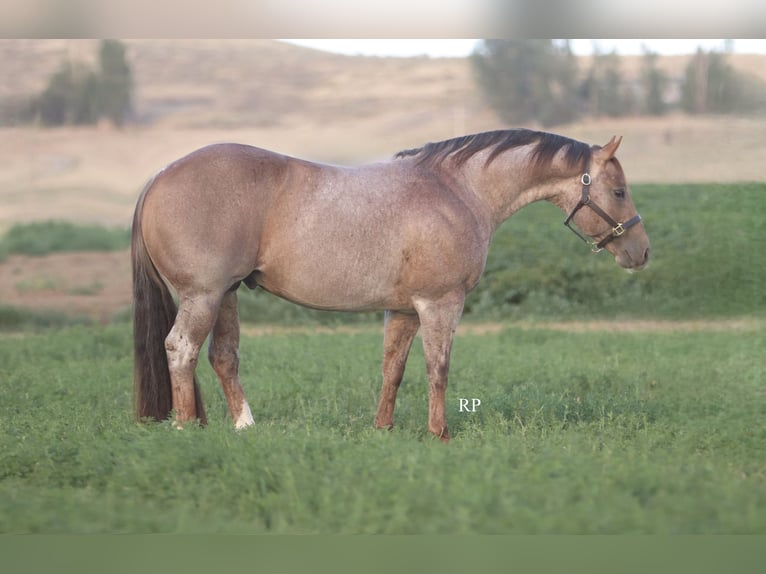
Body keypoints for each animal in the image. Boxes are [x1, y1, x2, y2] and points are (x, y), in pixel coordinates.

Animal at [131, 128, 650, 441]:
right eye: (619, 191)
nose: (641, 253)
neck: (456, 191)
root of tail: (159, 177)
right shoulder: (440, 304)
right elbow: (438, 369)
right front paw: (440, 434)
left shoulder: (402, 309)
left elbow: (393, 369)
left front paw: (383, 429)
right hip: (203, 296)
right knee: (180, 349)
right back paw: (186, 429)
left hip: (227, 295)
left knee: (223, 356)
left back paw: (244, 426)